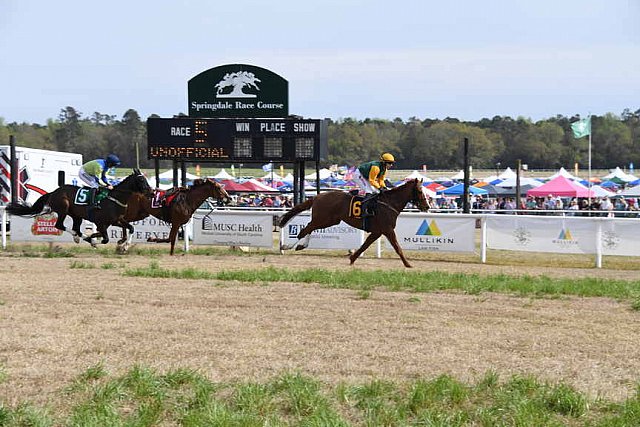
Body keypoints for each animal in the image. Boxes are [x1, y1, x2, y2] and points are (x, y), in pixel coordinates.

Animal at [6, 168, 152, 246]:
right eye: (141, 180)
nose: (151, 192)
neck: (114, 199)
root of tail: (53, 192)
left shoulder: (116, 220)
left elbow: (130, 228)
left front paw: (125, 245)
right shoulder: (101, 222)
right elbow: (105, 239)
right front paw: (94, 241)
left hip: (76, 215)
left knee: (76, 228)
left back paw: (80, 237)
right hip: (63, 208)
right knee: (60, 225)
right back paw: (80, 237)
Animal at [278, 178, 430, 268]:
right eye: (420, 190)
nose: (427, 206)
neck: (389, 203)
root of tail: (317, 196)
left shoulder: (377, 231)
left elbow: (365, 245)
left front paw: (352, 258)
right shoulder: (387, 229)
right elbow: (397, 247)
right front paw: (408, 264)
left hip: (330, 220)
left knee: (310, 228)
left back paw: (301, 245)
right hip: (324, 218)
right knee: (306, 229)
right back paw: (288, 246)